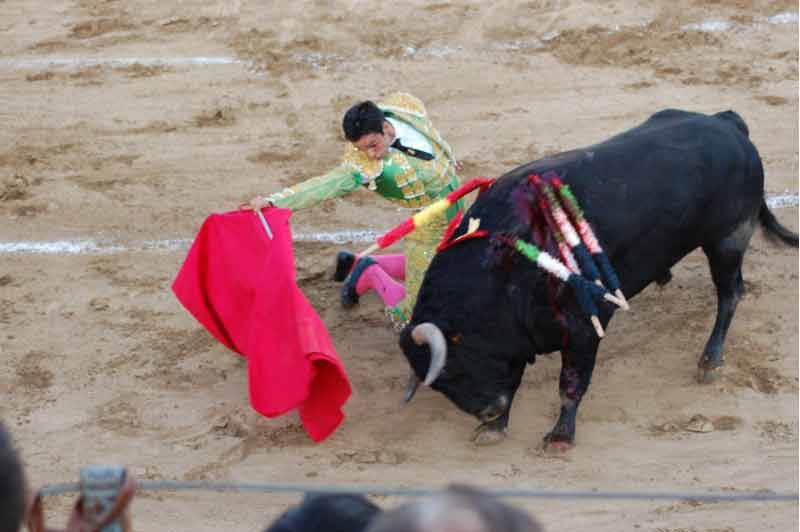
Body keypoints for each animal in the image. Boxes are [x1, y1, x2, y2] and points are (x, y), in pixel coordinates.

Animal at [396, 108, 796, 448]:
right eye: (442, 383)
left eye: (460, 364)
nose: (488, 410)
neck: (502, 274)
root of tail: (727, 122)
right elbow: (514, 375)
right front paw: (495, 427)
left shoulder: (583, 326)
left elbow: (571, 383)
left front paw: (560, 436)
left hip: (727, 241)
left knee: (730, 294)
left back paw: (710, 361)